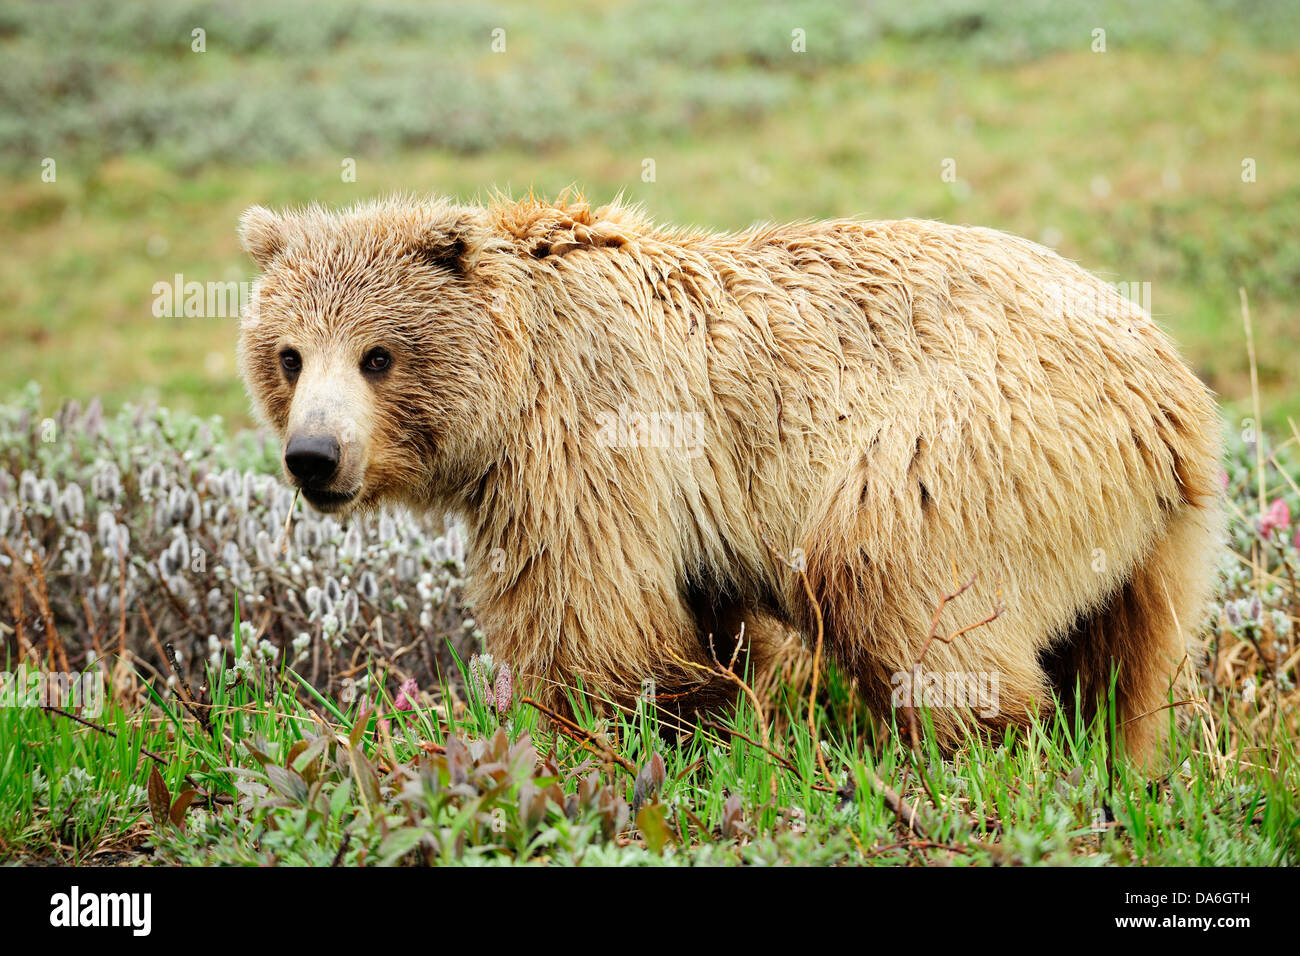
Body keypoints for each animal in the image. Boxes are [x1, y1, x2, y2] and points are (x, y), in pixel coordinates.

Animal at [239, 192, 1222, 764]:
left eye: (378, 356)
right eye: (289, 354)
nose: (315, 456)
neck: (514, 381)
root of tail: (1171, 381)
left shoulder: (591, 437)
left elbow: (595, 622)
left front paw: (630, 733)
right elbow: (703, 613)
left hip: (977, 437)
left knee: (890, 569)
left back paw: (970, 749)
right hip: (1139, 533)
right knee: (1128, 664)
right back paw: (1109, 755)